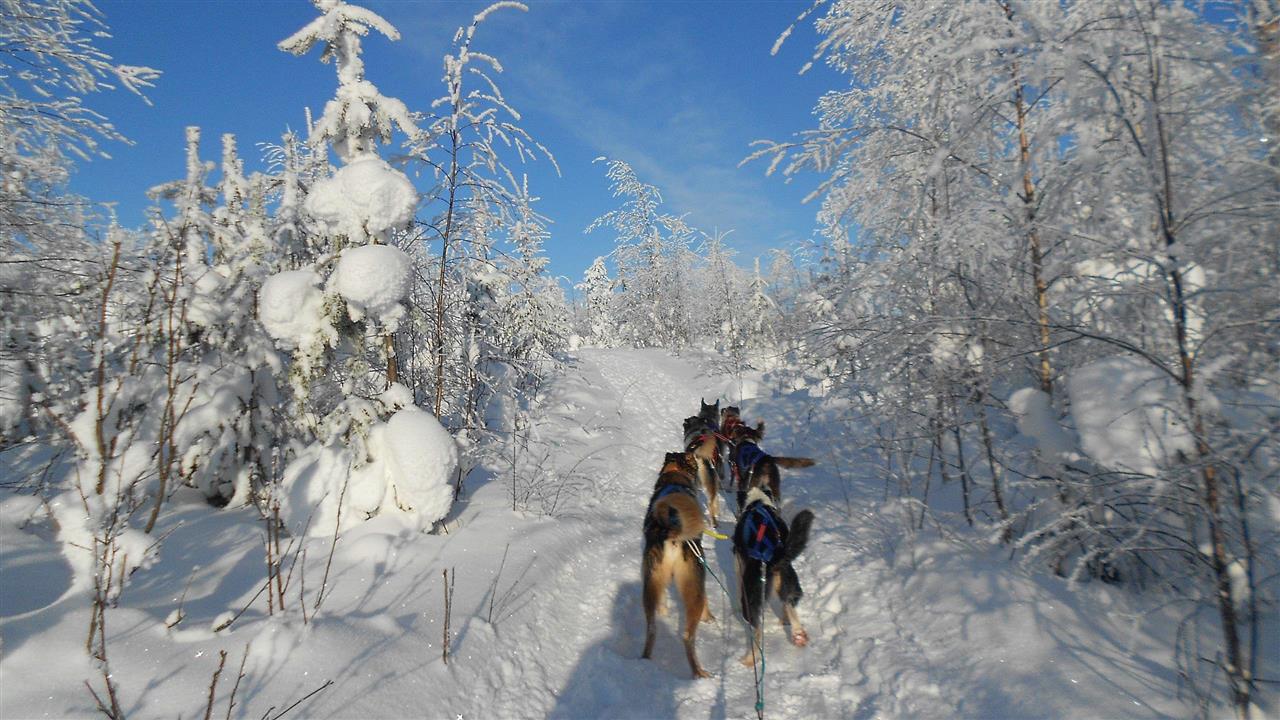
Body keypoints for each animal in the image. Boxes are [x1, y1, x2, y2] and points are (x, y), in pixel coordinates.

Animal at [645, 450, 716, 676]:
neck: (674, 474)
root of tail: (672, 533)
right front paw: (709, 617)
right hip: (693, 586)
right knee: (687, 636)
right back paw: (699, 673)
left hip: (650, 584)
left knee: (652, 628)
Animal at [737, 484, 814, 666]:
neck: (758, 503)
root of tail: (773, 557)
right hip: (791, 583)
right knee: (789, 604)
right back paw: (798, 634)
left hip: (751, 600)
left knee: (757, 630)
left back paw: (749, 659)